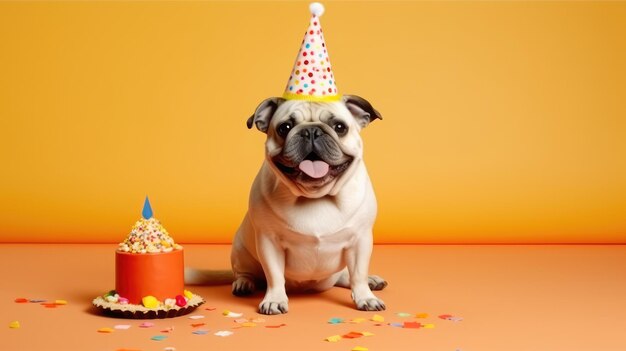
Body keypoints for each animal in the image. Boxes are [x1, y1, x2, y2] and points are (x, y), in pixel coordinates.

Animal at [229, 95, 386, 314]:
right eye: (284, 127)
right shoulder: (269, 242)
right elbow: (274, 275)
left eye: (340, 127)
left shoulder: (360, 240)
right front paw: (275, 300)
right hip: (240, 250)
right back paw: (244, 284)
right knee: (244, 272)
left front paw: (366, 297)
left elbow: (359, 274)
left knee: (346, 276)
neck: (316, 196)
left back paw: (371, 281)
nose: (311, 131)